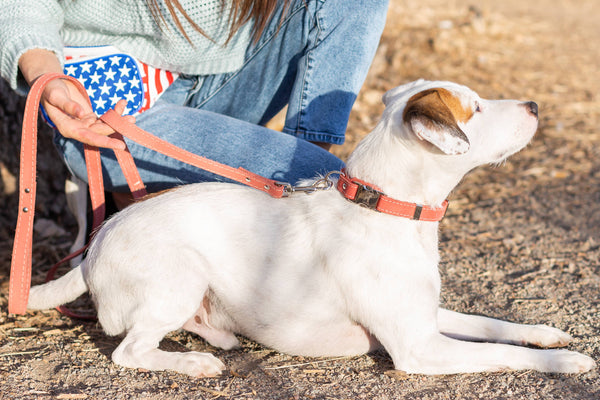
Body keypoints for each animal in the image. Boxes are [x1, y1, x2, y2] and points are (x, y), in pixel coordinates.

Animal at [28, 80, 596, 376]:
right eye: (474, 108)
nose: (535, 104)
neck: (385, 210)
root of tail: (95, 243)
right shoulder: (419, 348)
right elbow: (499, 351)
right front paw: (567, 361)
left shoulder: (427, 318)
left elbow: (494, 325)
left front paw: (545, 334)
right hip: (178, 276)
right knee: (129, 351)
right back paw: (196, 363)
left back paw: (220, 335)